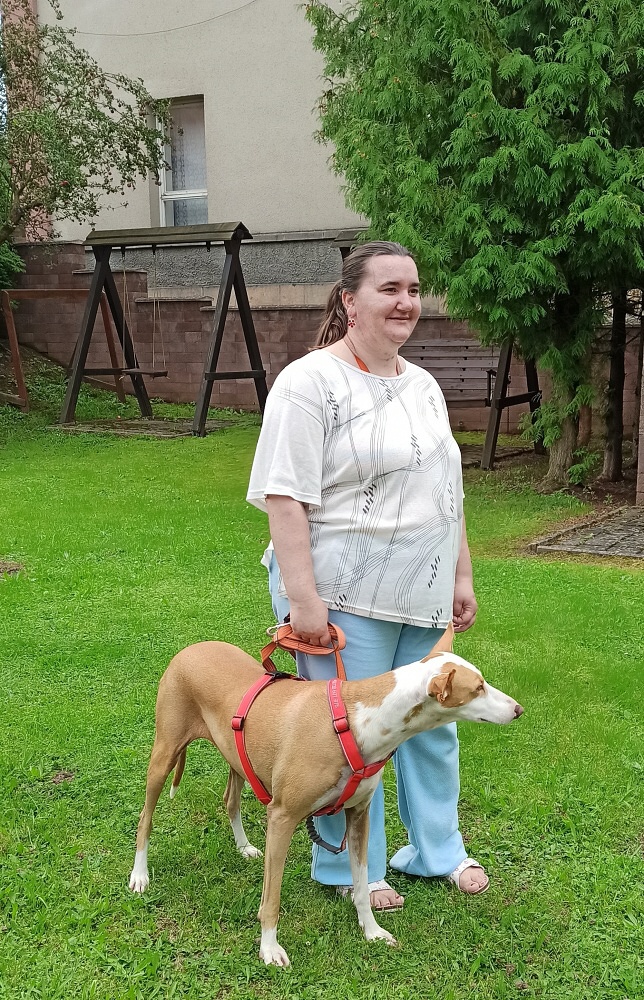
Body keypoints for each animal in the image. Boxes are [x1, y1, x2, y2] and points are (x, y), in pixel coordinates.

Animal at [129, 623, 523, 966]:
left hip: (238, 758)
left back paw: (244, 847)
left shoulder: (358, 816)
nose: (518, 709)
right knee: (145, 819)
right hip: (164, 754)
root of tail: (190, 649)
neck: (359, 719)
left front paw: (372, 931)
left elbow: (362, 886)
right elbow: (271, 898)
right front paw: (269, 949)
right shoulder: (282, 817)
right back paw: (140, 876)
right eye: (478, 688)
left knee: (230, 800)